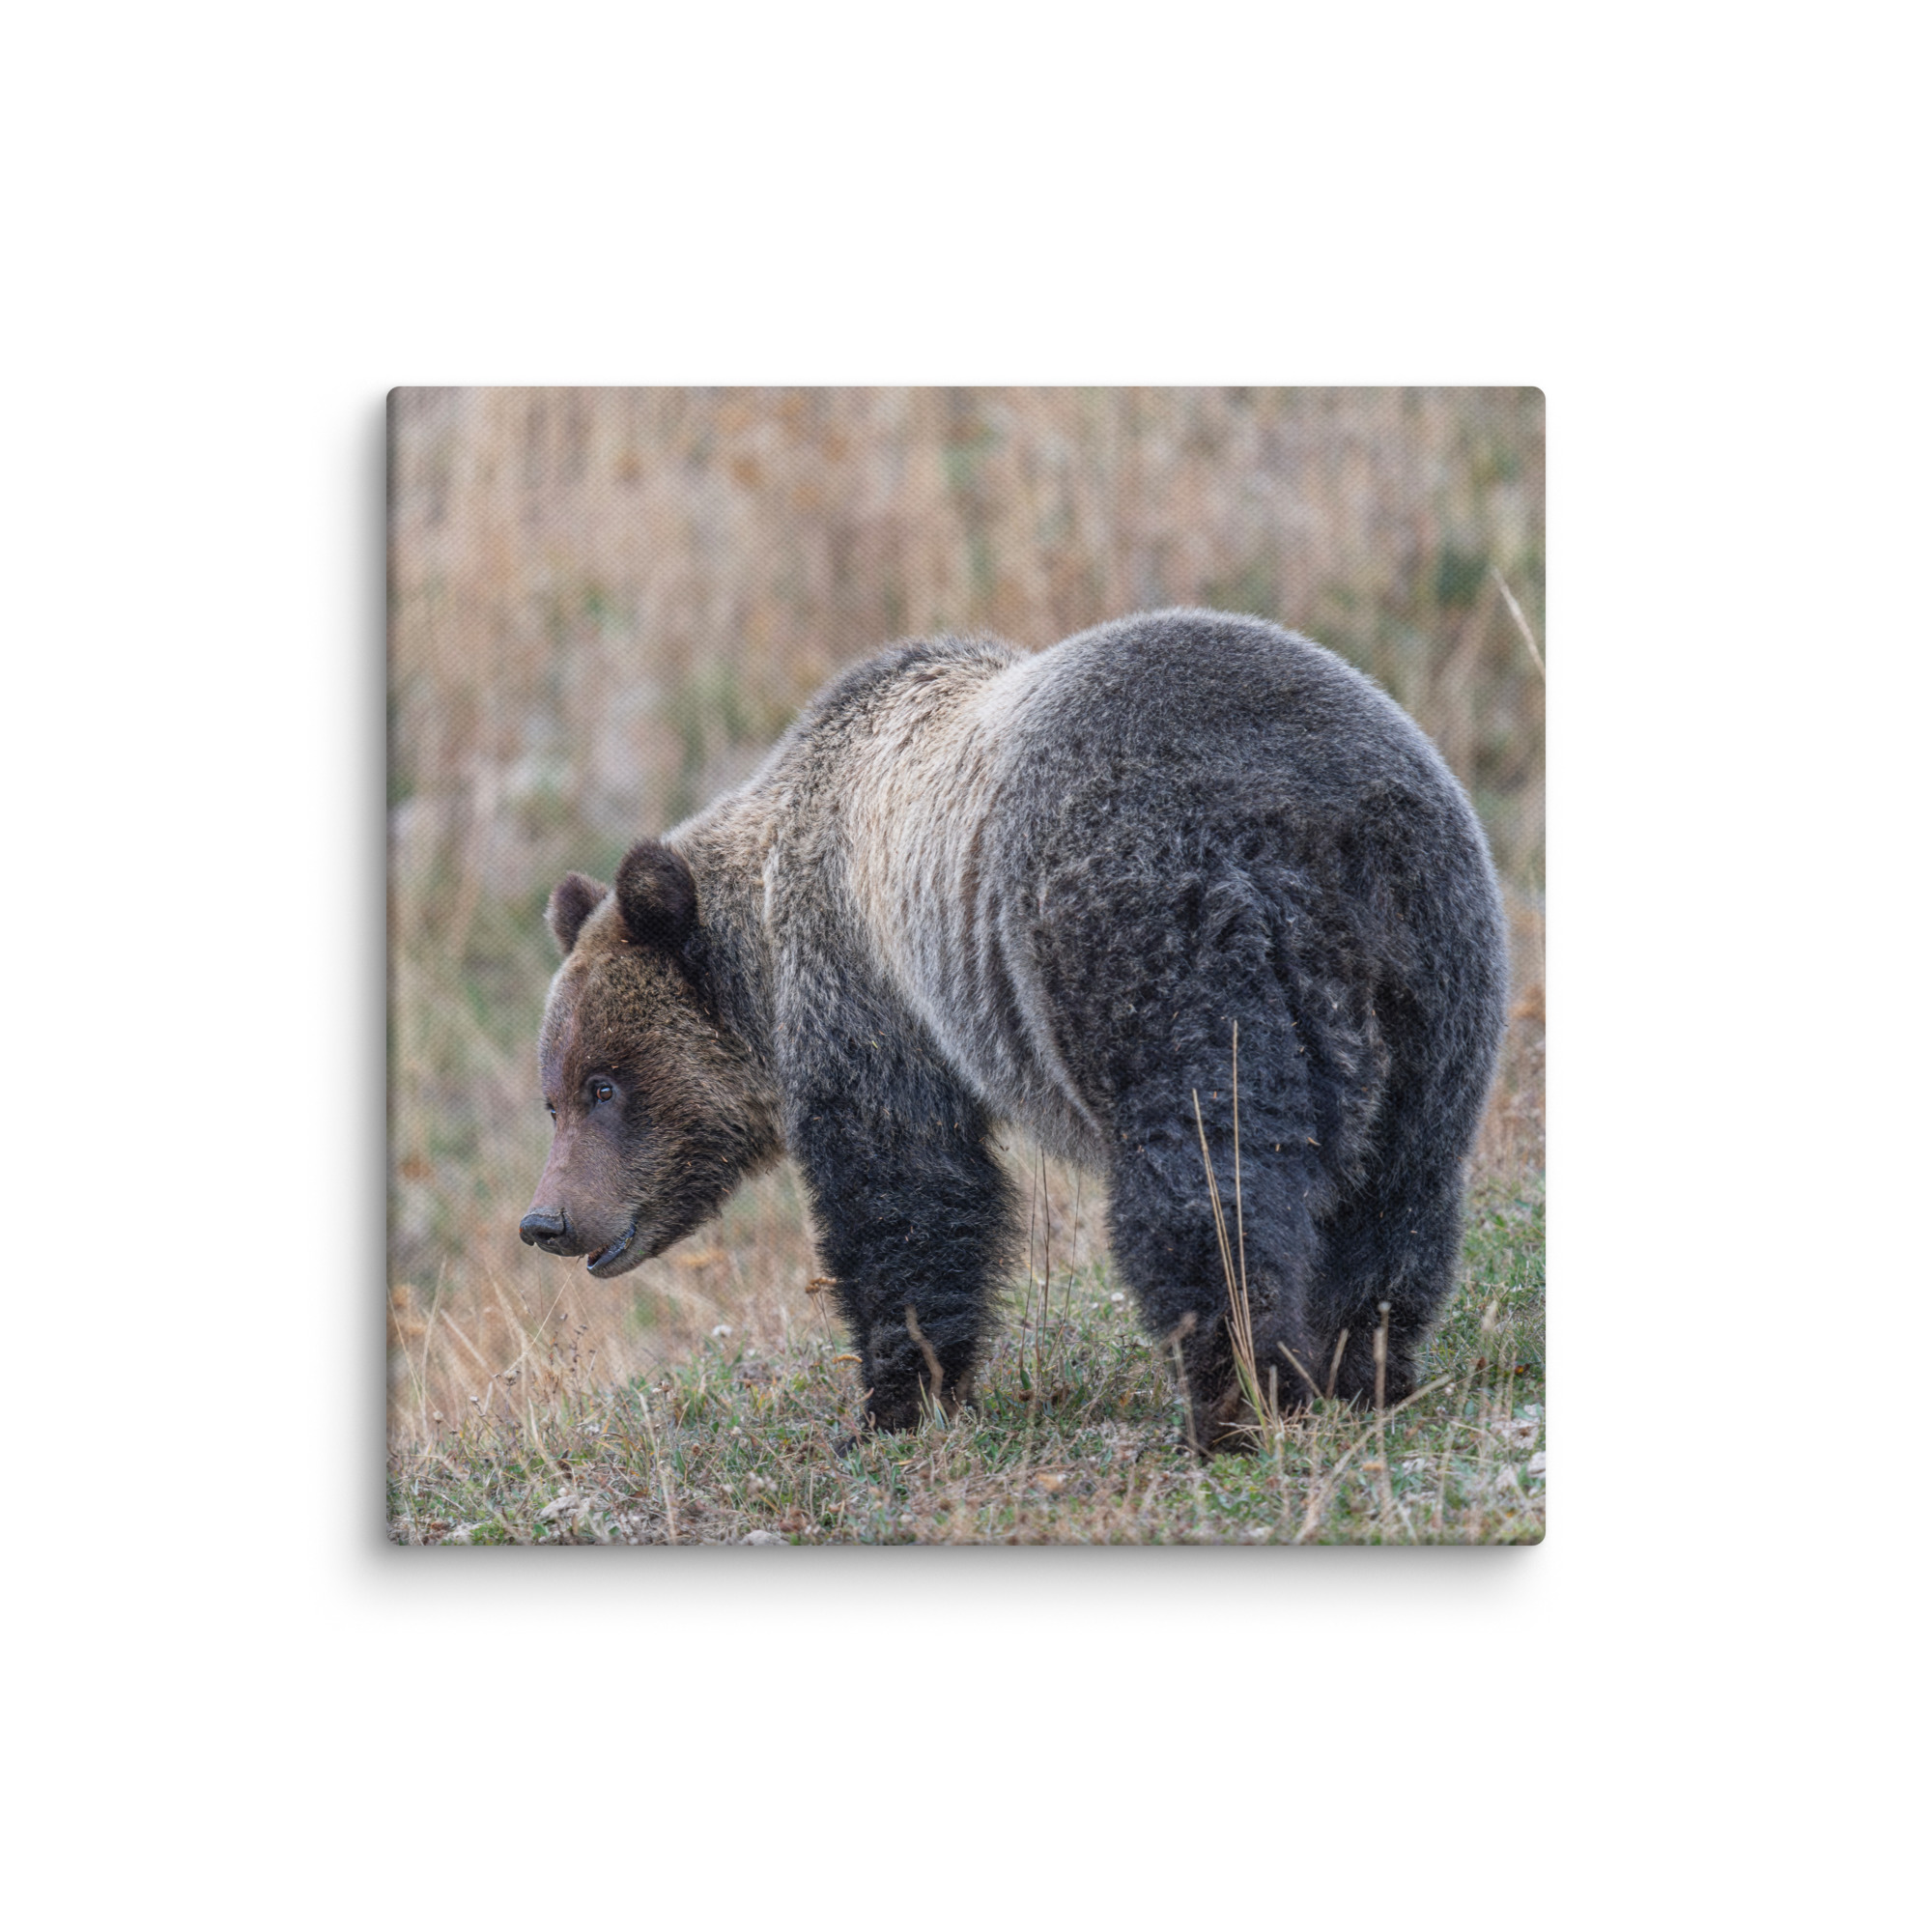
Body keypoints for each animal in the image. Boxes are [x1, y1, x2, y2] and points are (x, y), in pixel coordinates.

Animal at [519, 608, 1508, 1450]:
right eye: (553, 1097)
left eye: (604, 1085)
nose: (547, 1220)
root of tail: (1317, 824)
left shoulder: (870, 991)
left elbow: (906, 1192)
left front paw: (892, 1403)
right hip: (1435, 967)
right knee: (1401, 1187)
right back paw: (1362, 1371)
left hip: (1155, 937)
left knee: (1208, 1182)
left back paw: (1235, 1404)